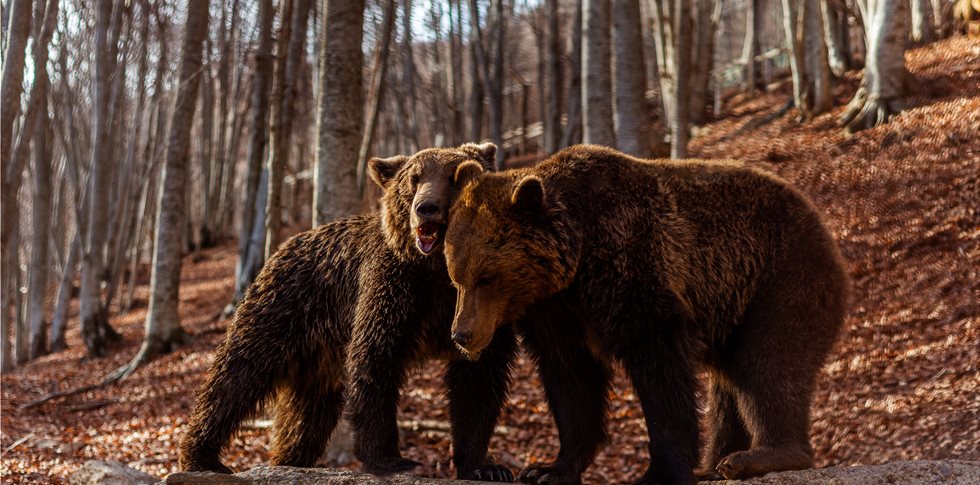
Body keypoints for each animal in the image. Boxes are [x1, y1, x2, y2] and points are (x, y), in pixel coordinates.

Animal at [177, 143, 516, 480]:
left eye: (454, 177)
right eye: (414, 178)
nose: (426, 208)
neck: (437, 271)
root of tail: (283, 247)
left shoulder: (485, 302)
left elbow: (479, 379)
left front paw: (485, 466)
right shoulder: (394, 290)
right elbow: (375, 361)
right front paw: (388, 458)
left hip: (317, 359)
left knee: (306, 414)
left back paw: (289, 458)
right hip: (282, 309)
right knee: (237, 376)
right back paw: (201, 456)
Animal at [444, 145, 848, 484]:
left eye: (486, 277)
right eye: (456, 277)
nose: (461, 335)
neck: (577, 259)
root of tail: (824, 228)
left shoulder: (631, 267)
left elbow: (659, 367)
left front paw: (660, 471)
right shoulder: (557, 312)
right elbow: (572, 380)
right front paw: (548, 469)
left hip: (779, 277)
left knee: (767, 364)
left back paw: (761, 455)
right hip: (736, 307)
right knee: (730, 384)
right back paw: (714, 464)